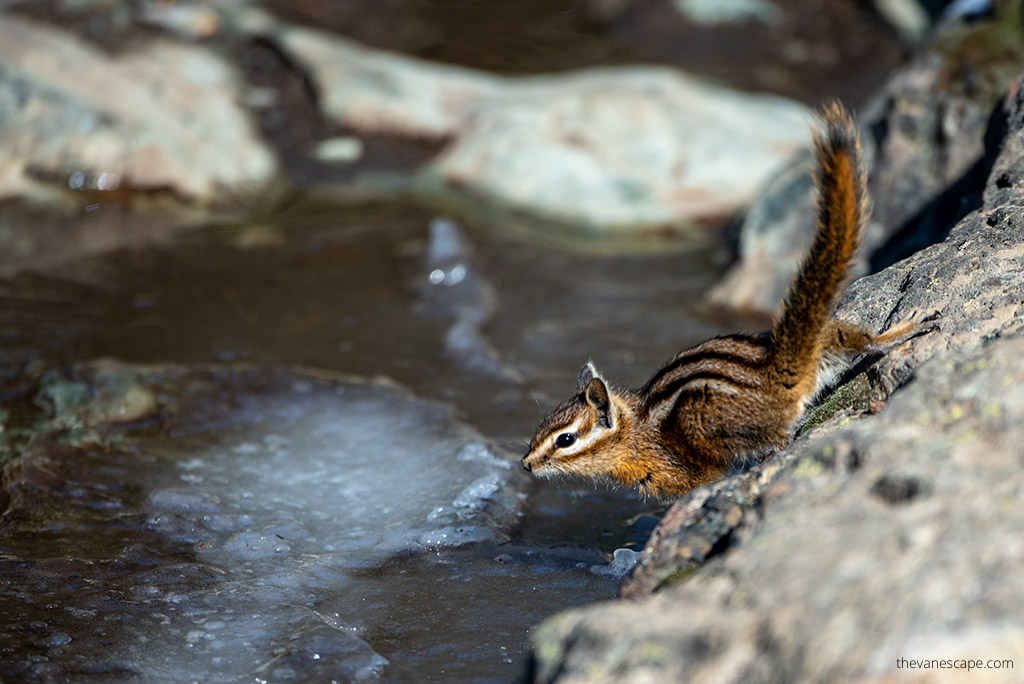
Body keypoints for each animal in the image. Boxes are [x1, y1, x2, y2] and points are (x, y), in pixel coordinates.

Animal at [521, 102, 938, 499]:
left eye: (565, 439)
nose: (525, 464)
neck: (634, 433)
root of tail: (774, 369)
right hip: (827, 338)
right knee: (857, 339)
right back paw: (899, 331)